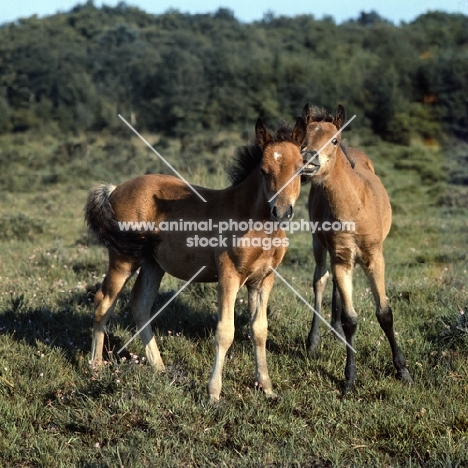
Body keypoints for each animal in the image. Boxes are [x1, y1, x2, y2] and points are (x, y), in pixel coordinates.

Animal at [85, 117, 308, 402]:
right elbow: (225, 332)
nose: (281, 211)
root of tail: (114, 190)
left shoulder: (263, 280)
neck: (256, 222)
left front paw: (267, 388)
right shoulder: (229, 275)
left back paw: (159, 367)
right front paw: (213, 393)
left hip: (152, 264)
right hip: (123, 258)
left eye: (300, 169)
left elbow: (259, 330)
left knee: (140, 305)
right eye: (263, 170)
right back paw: (96, 367)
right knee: (104, 302)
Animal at [302, 105, 412, 392]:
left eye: (333, 140)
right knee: (320, 280)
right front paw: (349, 379)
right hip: (319, 243)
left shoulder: (374, 258)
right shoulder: (341, 258)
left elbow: (385, 313)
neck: (354, 207)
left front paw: (402, 370)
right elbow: (351, 319)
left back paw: (335, 331)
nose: (308, 160)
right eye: (302, 137)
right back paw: (314, 341)